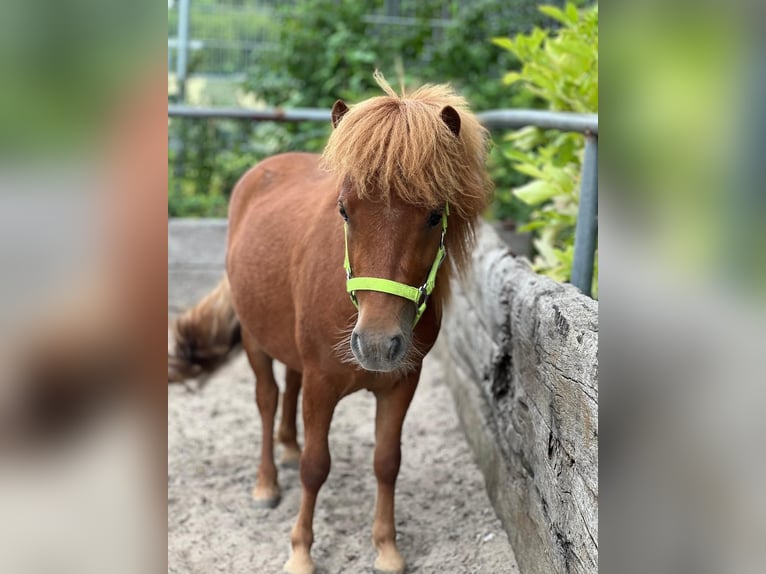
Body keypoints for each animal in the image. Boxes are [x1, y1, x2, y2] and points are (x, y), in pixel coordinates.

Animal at [168, 72, 492, 574]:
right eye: (344, 210)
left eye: (434, 215)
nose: (376, 344)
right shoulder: (323, 385)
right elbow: (316, 466)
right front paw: (300, 551)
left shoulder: (402, 384)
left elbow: (387, 461)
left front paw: (387, 548)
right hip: (256, 340)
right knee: (267, 398)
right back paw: (266, 483)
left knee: (289, 387)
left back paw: (286, 445)